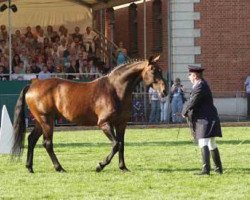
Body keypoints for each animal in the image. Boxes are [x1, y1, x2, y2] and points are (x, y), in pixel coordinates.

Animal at [12, 55, 168, 173]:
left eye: (161, 70)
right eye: (153, 70)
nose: (164, 91)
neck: (115, 90)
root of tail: (33, 84)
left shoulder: (121, 124)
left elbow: (121, 144)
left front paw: (123, 167)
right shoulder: (104, 123)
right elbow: (116, 144)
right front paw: (100, 166)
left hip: (41, 121)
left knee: (32, 140)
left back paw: (30, 167)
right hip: (46, 121)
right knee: (47, 143)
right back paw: (59, 168)